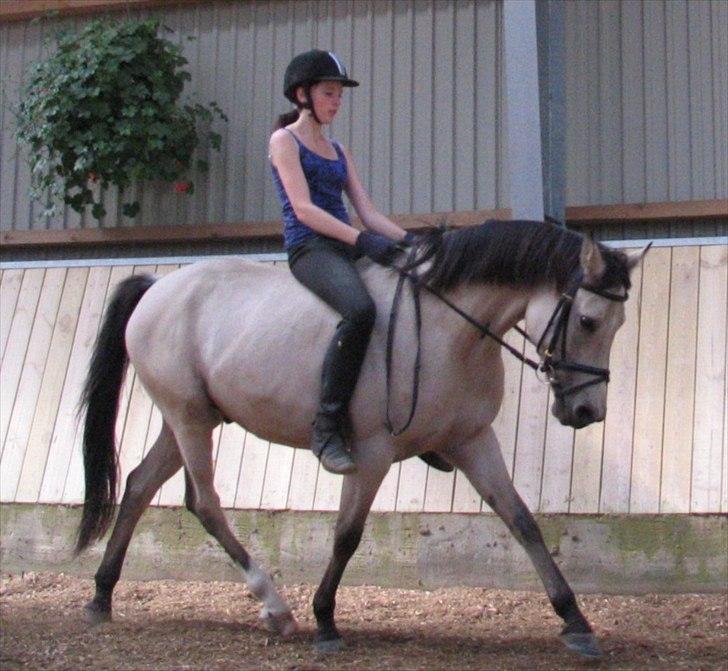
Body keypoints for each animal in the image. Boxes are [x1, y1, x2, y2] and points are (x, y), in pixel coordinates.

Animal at [74, 219, 644, 656]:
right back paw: (275, 606)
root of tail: (156, 287)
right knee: (205, 503)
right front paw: (325, 621)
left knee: (140, 485)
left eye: (619, 326)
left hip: (190, 419)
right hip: (188, 417)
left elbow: (522, 521)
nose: (587, 412)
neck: (449, 331)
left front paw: (575, 621)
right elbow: (347, 534)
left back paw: (102, 596)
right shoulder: (371, 451)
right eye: (588, 321)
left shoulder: (472, 440)